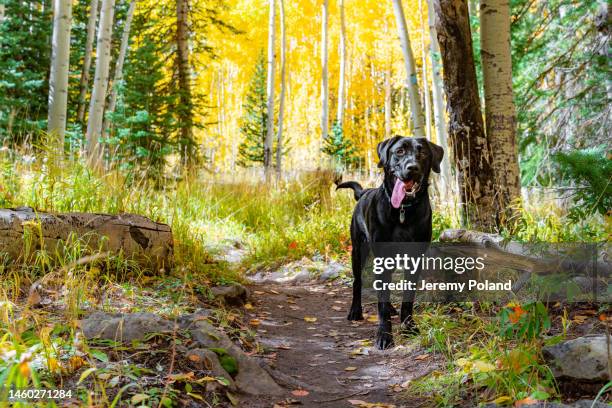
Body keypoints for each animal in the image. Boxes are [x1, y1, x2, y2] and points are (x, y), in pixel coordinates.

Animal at [338, 135, 442, 350]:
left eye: (422, 152)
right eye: (399, 151)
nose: (412, 167)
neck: (403, 210)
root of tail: (364, 192)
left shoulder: (414, 260)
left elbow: (407, 299)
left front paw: (409, 327)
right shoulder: (381, 258)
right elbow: (381, 304)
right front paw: (384, 336)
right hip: (358, 251)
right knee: (357, 281)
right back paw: (355, 311)